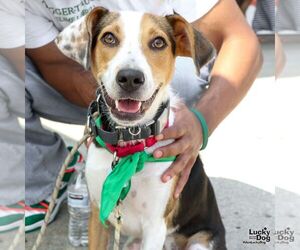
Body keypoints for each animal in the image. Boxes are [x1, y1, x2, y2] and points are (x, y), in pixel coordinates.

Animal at [55, 6, 226, 249]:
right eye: (109, 38)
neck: (128, 145)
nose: (130, 77)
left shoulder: (155, 227)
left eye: (158, 42)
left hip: (200, 242)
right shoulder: (97, 213)